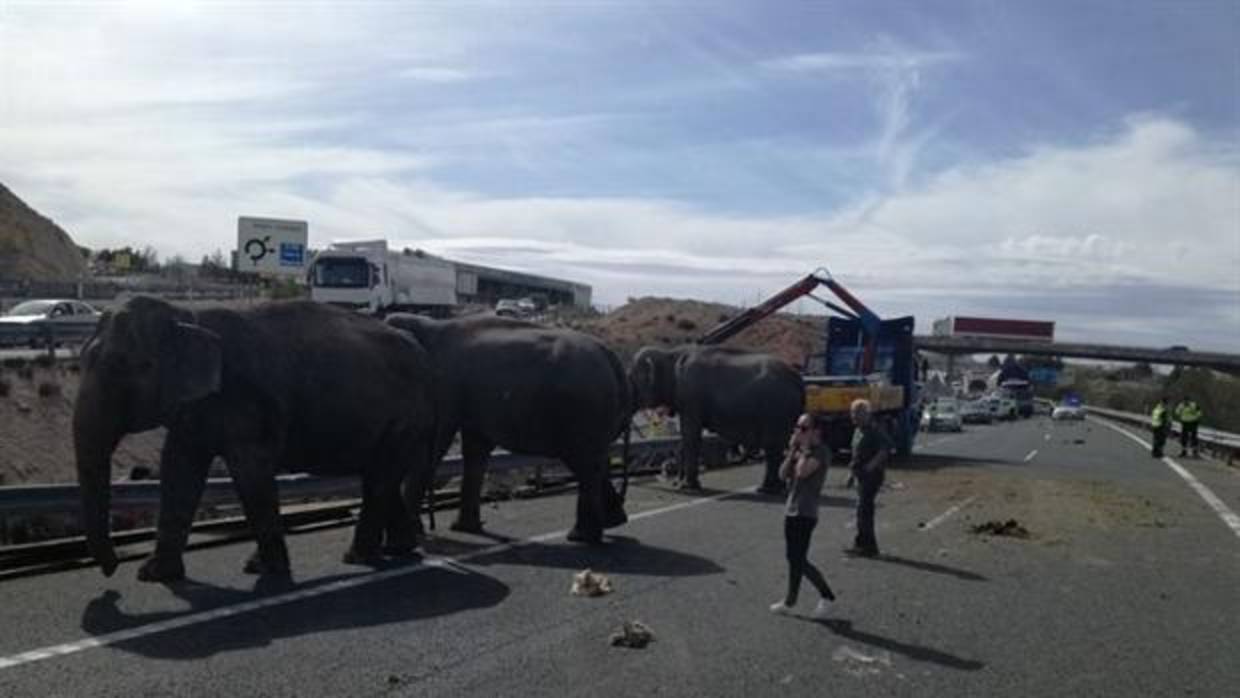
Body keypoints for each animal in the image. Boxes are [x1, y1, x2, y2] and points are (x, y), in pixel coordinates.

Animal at [73, 297, 436, 582]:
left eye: (125, 366)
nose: (111, 568)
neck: (187, 316)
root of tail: (421, 352)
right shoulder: (195, 406)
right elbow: (179, 469)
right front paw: (154, 575)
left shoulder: (244, 400)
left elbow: (250, 471)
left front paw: (266, 569)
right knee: (380, 477)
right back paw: (398, 549)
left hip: (405, 417)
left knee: (379, 478)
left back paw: (358, 557)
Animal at [384, 312, 629, 545]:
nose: (430, 529)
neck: (428, 325)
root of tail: (611, 356)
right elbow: (475, 450)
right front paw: (463, 528)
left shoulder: (445, 389)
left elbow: (434, 447)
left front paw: (417, 532)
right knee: (593, 462)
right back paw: (613, 522)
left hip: (584, 409)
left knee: (584, 464)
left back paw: (581, 536)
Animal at [629, 347, 803, 493]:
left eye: (629, 379)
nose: (669, 480)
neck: (670, 355)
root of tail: (798, 380)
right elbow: (685, 437)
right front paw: (679, 484)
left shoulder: (691, 397)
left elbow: (691, 435)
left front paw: (687, 487)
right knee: (779, 447)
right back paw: (777, 488)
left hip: (776, 410)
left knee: (772, 447)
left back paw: (766, 489)